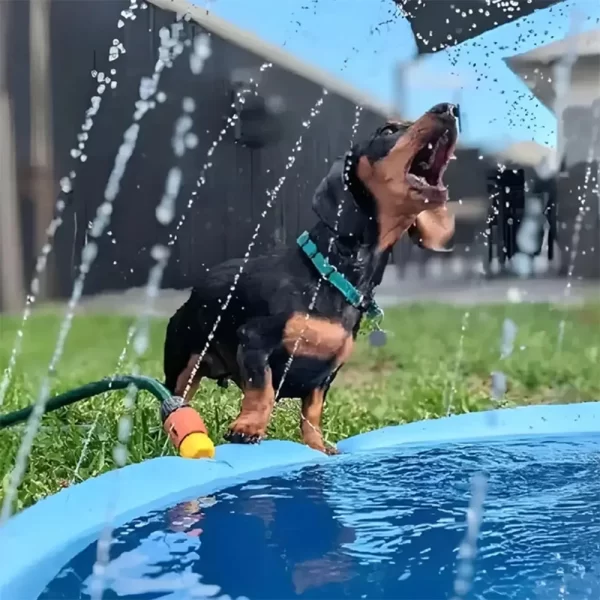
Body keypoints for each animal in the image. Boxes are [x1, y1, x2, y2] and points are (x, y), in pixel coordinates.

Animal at [162, 103, 458, 452]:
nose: (450, 109)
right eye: (387, 131)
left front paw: (319, 447)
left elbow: (313, 412)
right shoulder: (254, 340)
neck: (329, 275)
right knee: (174, 398)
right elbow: (262, 390)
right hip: (183, 364)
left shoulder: (325, 374)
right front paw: (248, 428)